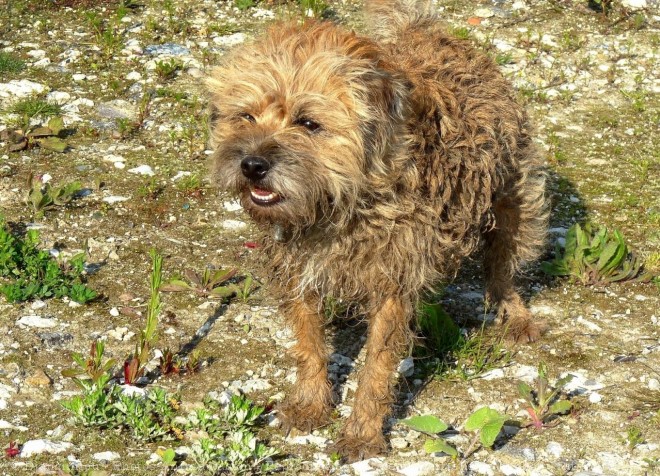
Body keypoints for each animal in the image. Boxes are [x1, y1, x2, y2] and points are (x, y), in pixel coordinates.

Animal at [206, 0, 548, 462]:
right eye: (245, 115)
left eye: (309, 123)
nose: (252, 164)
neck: (344, 204)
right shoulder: (299, 273)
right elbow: (309, 344)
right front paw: (311, 404)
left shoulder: (393, 286)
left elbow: (377, 367)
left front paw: (362, 433)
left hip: (512, 197)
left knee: (503, 263)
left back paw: (514, 314)